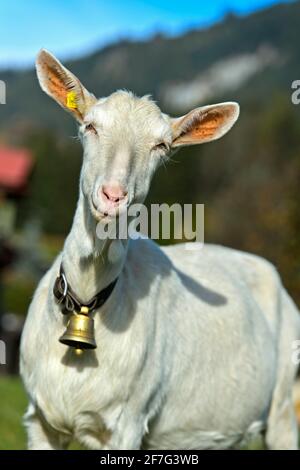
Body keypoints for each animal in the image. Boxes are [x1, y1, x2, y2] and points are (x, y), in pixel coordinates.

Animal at [19, 49, 298, 450]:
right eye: (90, 126)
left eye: (161, 146)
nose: (113, 195)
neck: (89, 298)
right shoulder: (41, 421)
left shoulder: (129, 420)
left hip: (285, 397)